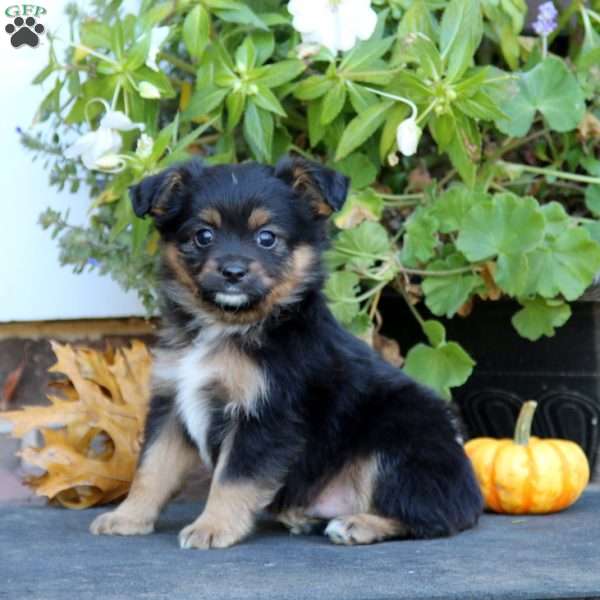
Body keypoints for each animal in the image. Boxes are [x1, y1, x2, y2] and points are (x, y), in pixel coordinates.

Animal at [89, 156, 482, 548]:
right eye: (204, 235)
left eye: (267, 238)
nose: (233, 271)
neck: (229, 327)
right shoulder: (172, 404)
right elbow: (151, 469)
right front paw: (128, 517)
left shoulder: (265, 414)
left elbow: (232, 479)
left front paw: (212, 527)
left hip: (397, 439)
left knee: (436, 516)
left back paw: (357, 524)